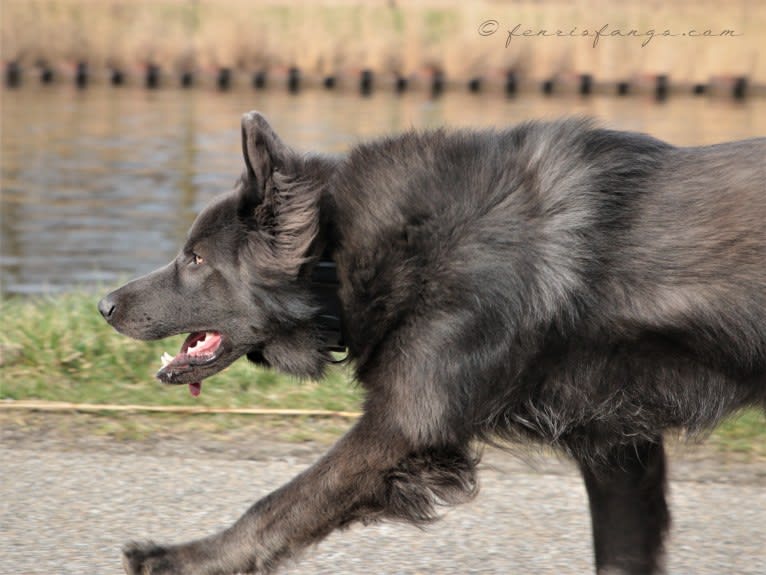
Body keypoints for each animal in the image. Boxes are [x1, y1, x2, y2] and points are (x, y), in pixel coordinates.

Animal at [99, 113, 764, 575]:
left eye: (195, 259)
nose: (103, 305)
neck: (343, 256)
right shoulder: (618, 449)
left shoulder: (402, 426)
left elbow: (277, 506)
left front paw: (178, 558)